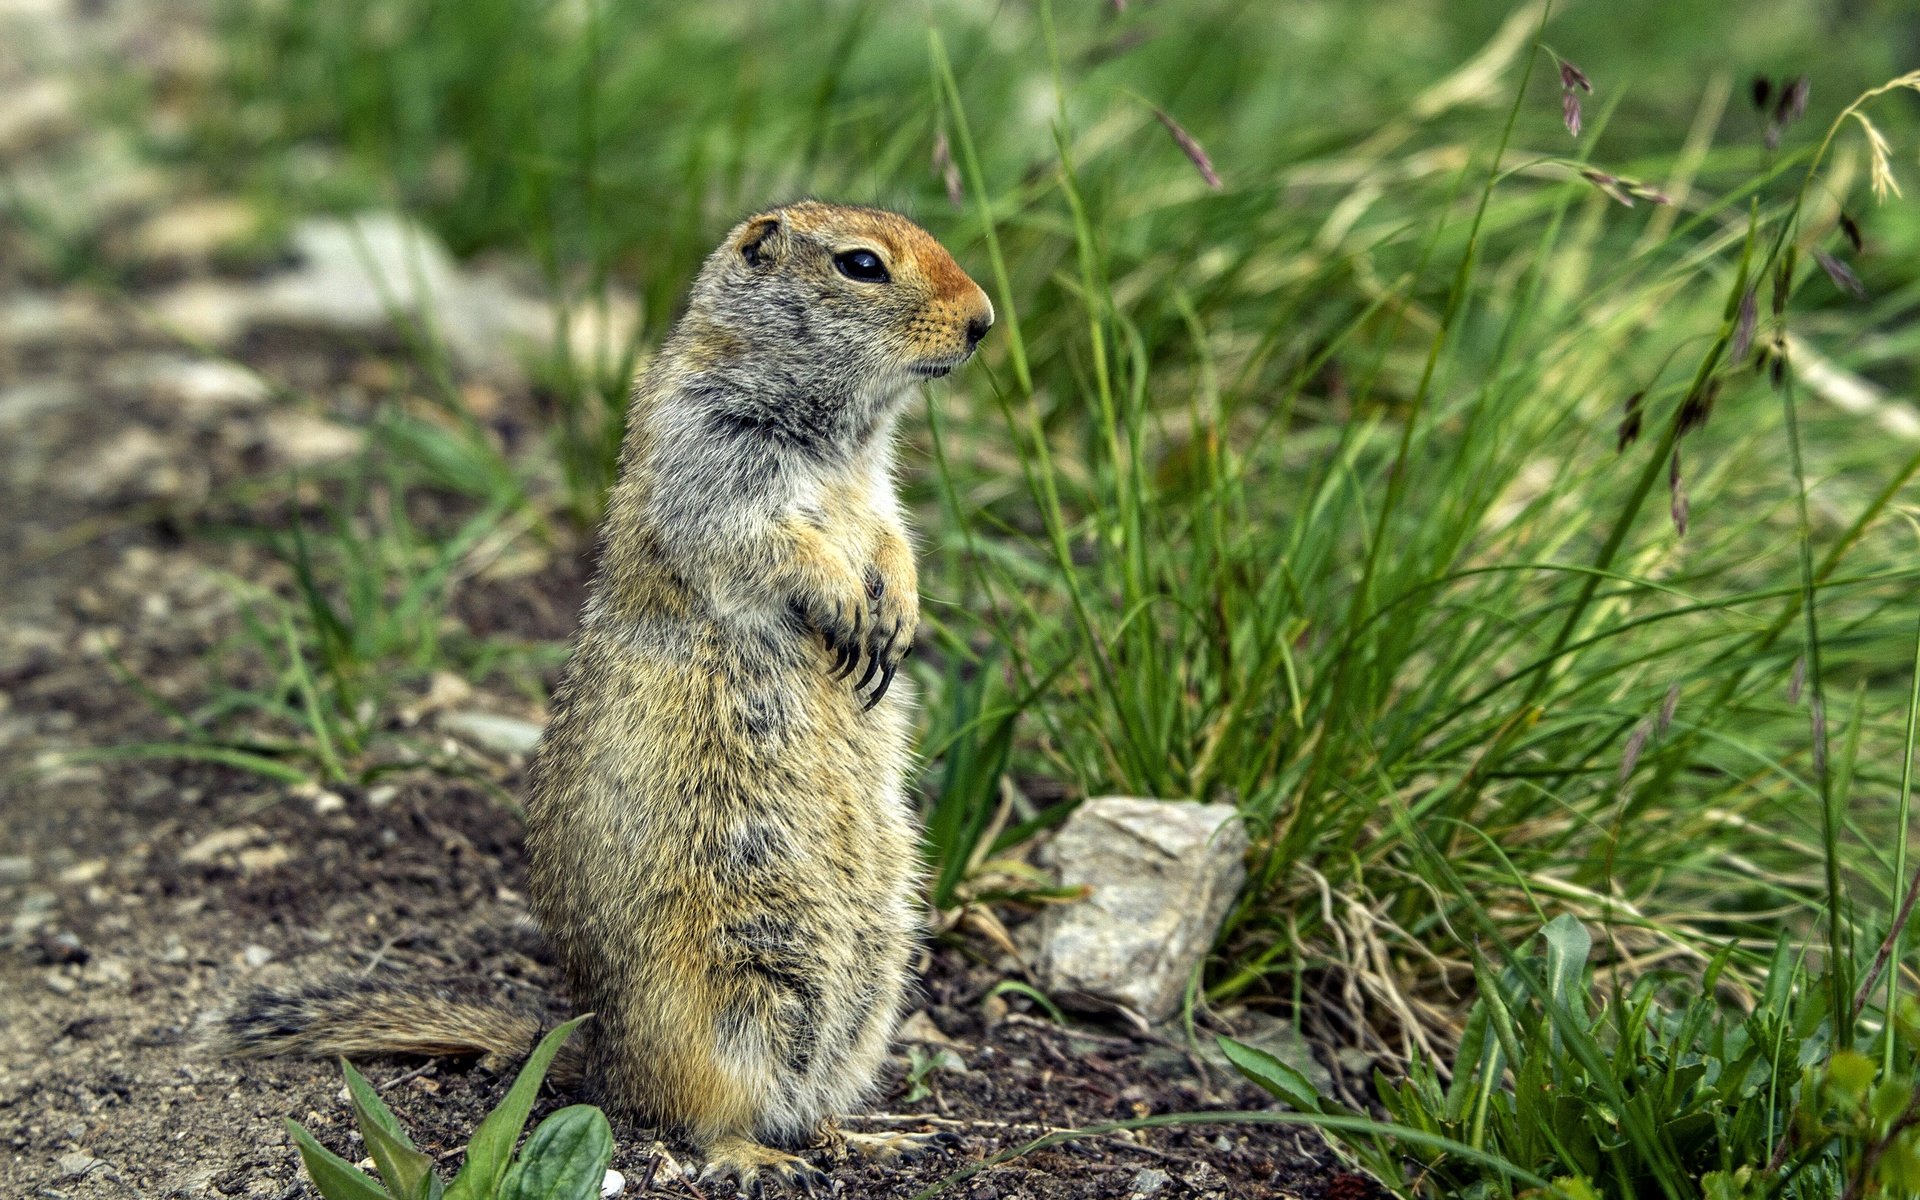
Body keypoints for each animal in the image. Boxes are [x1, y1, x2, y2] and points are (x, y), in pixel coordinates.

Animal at [228, 198, 990, 1190]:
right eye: (862, 264)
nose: (984, 321)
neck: (835, 437)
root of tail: (600, 1053)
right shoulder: (714, 461)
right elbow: (766, 540)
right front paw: (843, 600)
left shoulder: (876, 492)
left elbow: (892, 537)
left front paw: (895, 608)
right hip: (723, 1000)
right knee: (698, 1114)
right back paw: (758, 1153)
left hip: (874, 985)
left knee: (813, 1098)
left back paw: (866, 1135)